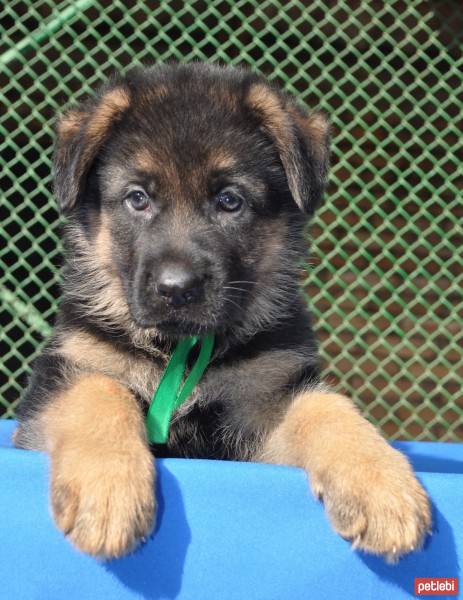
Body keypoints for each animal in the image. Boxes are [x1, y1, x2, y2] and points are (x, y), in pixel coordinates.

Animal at [15, 63, 436, 560]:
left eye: (229, 200)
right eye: (138, 198)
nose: (176, 289)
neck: (179, 349)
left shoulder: (263, 404)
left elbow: (327, 407)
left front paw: (382, 486)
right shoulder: (59, 383)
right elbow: (99, 391)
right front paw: (108, 491)